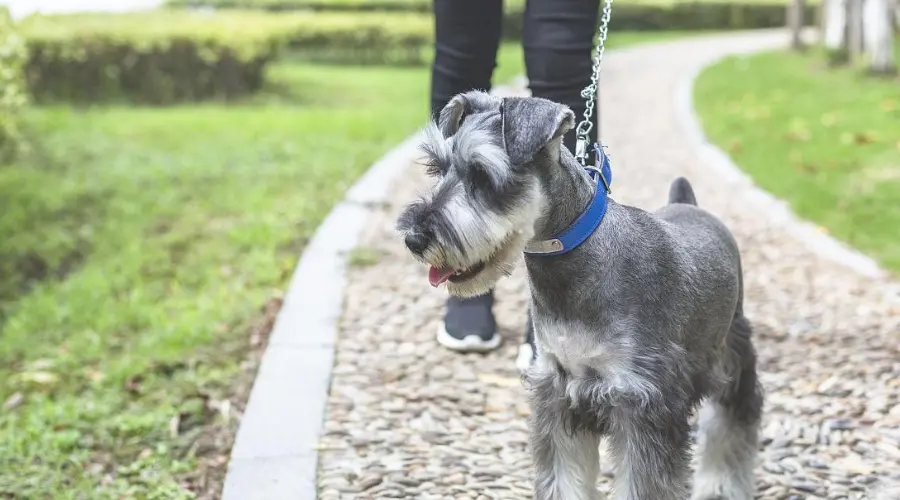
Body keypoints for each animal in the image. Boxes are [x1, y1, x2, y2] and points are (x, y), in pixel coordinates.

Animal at [398, 91, 764, 500]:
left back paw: (720, 486)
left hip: (732, 360)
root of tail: (690, 205)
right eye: (437, 169)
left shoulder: (644, 403)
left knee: (731, 428)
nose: (414, 238)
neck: (573, 265)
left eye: (482, 174)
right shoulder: (557, 394)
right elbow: (562, 478)